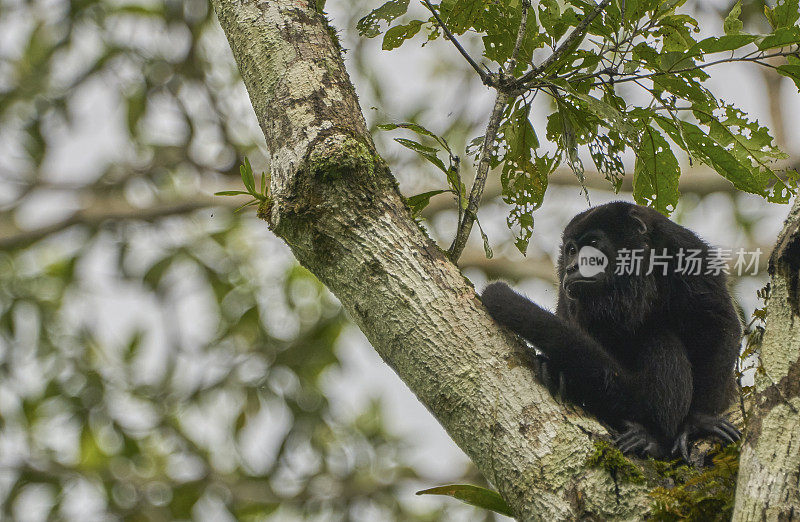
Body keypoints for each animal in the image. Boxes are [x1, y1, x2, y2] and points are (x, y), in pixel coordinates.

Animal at [478, 201, 740, 458]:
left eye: (594, 244)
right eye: (571, 250)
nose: (573, 267)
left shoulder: (683, 250)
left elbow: (719, 324)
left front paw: (699, 420)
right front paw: (555, 368)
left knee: (659, 338)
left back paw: (655, 438)